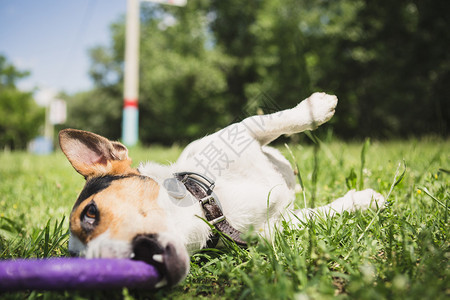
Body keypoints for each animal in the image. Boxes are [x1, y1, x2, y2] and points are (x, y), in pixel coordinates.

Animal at [58, 92, 384, 288]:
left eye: (90, 213)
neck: (209, 205)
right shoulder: (276, 225)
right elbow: (320, 214)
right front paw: (363, 200)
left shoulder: (241, 132)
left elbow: (273, 121)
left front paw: (317, 107)